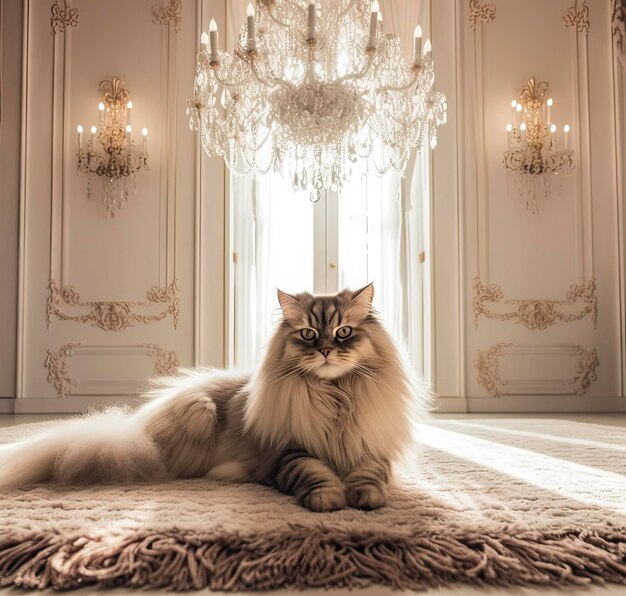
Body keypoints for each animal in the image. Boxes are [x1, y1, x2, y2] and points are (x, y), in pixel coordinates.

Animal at [0, 284, 428, 512]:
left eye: (343, 333)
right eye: (308, 334)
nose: (324, 350)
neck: (335, 397)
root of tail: (135, 427)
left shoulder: (369, 447)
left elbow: (370, 475)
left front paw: (366, 498)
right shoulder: (289, 452)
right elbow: (315, 473)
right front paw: (330, 499)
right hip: (199, 411)